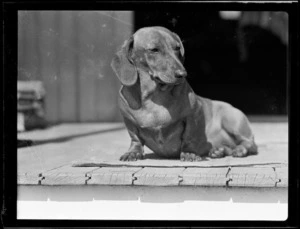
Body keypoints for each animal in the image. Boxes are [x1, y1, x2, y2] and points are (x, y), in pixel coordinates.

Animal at [110, 26, 258, 161]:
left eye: (176, 48)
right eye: (154, 50)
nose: (182, 74)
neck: (154, 98)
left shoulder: (193, 114)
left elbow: (189, 137)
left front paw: (189, 153)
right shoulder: (128, 121)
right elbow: (135, 138)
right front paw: (133, 152)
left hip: (232, 120)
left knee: (250, 143)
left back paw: (239, 149)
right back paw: (218, 150)